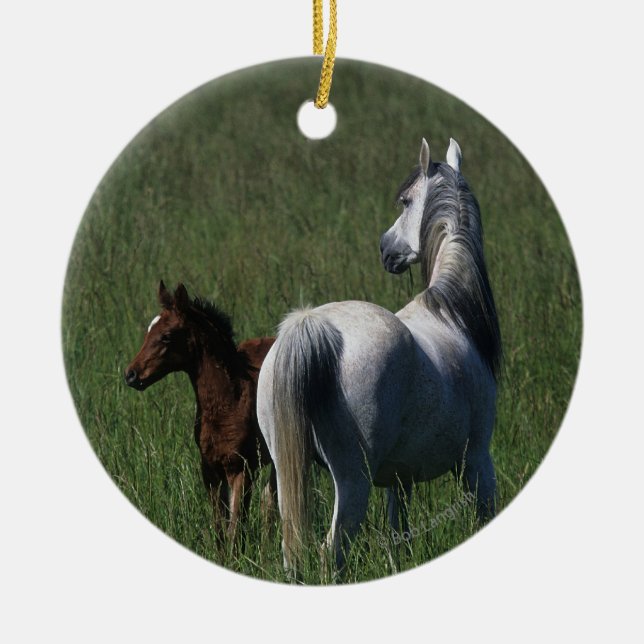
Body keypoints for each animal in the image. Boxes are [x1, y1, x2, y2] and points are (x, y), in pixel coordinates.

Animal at [125, 281, 276, 538]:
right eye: (148, 331)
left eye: (166, 336)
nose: (131, 375)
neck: (229, 402)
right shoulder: (210, 472)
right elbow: (220, 531)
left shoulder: (242, 470)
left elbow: (235, 530)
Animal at [256, 137, 501, 576]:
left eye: (404, 201)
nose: (385, 248)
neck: (451, 312)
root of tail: (310, 326)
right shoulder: (477, 463)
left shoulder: (398, 481)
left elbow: (397, 541)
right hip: (353, 482)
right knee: (330, 555)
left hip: (287, 473)